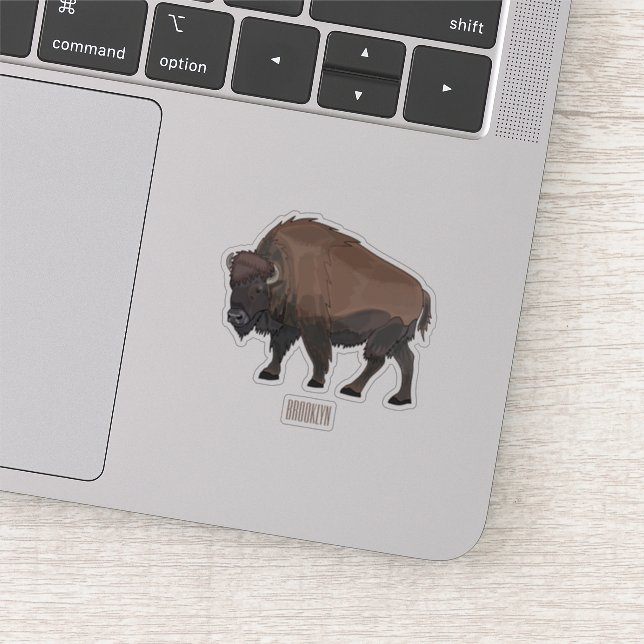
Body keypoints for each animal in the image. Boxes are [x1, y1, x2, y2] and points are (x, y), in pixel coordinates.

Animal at [225, 217, 432, 406]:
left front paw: (315, 382)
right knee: (407, 360)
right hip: (397, 338)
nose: (235, 316)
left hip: (385, 333)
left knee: (377, 361)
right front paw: (269, 373)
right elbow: (278, 347)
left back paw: (351, 389)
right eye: (232, 284)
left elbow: (317, 353)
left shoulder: (313, 326)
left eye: (258, 289)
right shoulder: (289, 324)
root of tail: (421, 290)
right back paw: (400, 399)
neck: (287, 270)